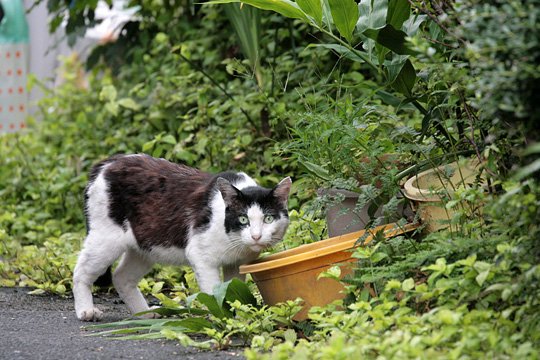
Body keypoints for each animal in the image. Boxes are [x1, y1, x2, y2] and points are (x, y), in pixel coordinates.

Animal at [73, 153, 292, 322]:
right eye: (243, 219)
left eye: (268, 219)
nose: (256, 236)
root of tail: (106, 163)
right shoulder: (201, 255)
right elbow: (213, 291)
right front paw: (221, 317)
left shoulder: (237, 263)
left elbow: (231, 289)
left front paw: (236, 316)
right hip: (105, 238)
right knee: (81, 271)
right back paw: (86, 311)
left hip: (146, 245)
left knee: (121, 277)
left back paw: (144, 314)